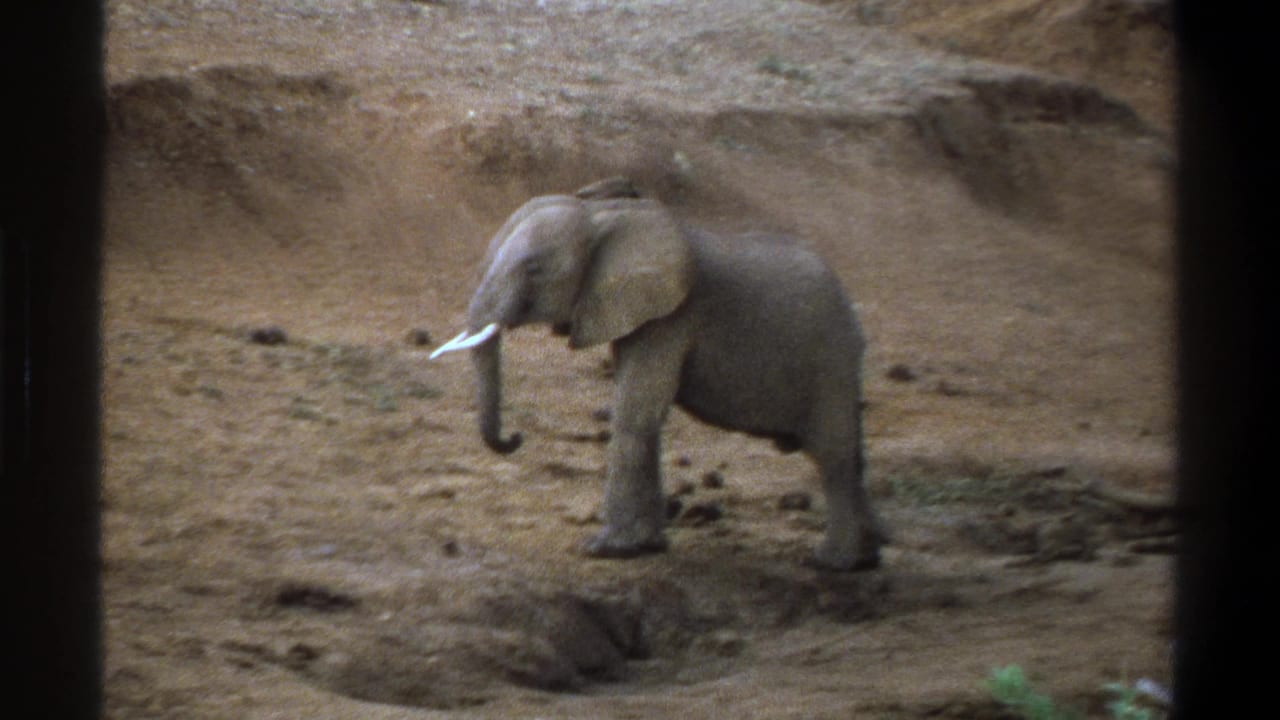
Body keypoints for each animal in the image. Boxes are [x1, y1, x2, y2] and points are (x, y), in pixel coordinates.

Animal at [431, 180, 882, 571]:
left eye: (534, 269)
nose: (515, 438)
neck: (603, 215)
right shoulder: (632, 311)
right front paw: (644, 548)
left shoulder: (673, 317)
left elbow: (636, 413)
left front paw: (604, 550)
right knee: (850, 453)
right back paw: (866, 558)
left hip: (829, 359)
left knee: (834, 454)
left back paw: (833, 563)